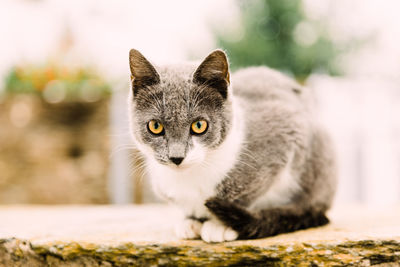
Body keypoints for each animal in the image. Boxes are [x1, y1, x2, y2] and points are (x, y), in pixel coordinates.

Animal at [128, 48, 338, 243]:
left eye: (199, 125)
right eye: (155, 126)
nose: (176, 157)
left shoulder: (287, 129)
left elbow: (246, 196)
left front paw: (219, 226)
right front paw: (190, 221)